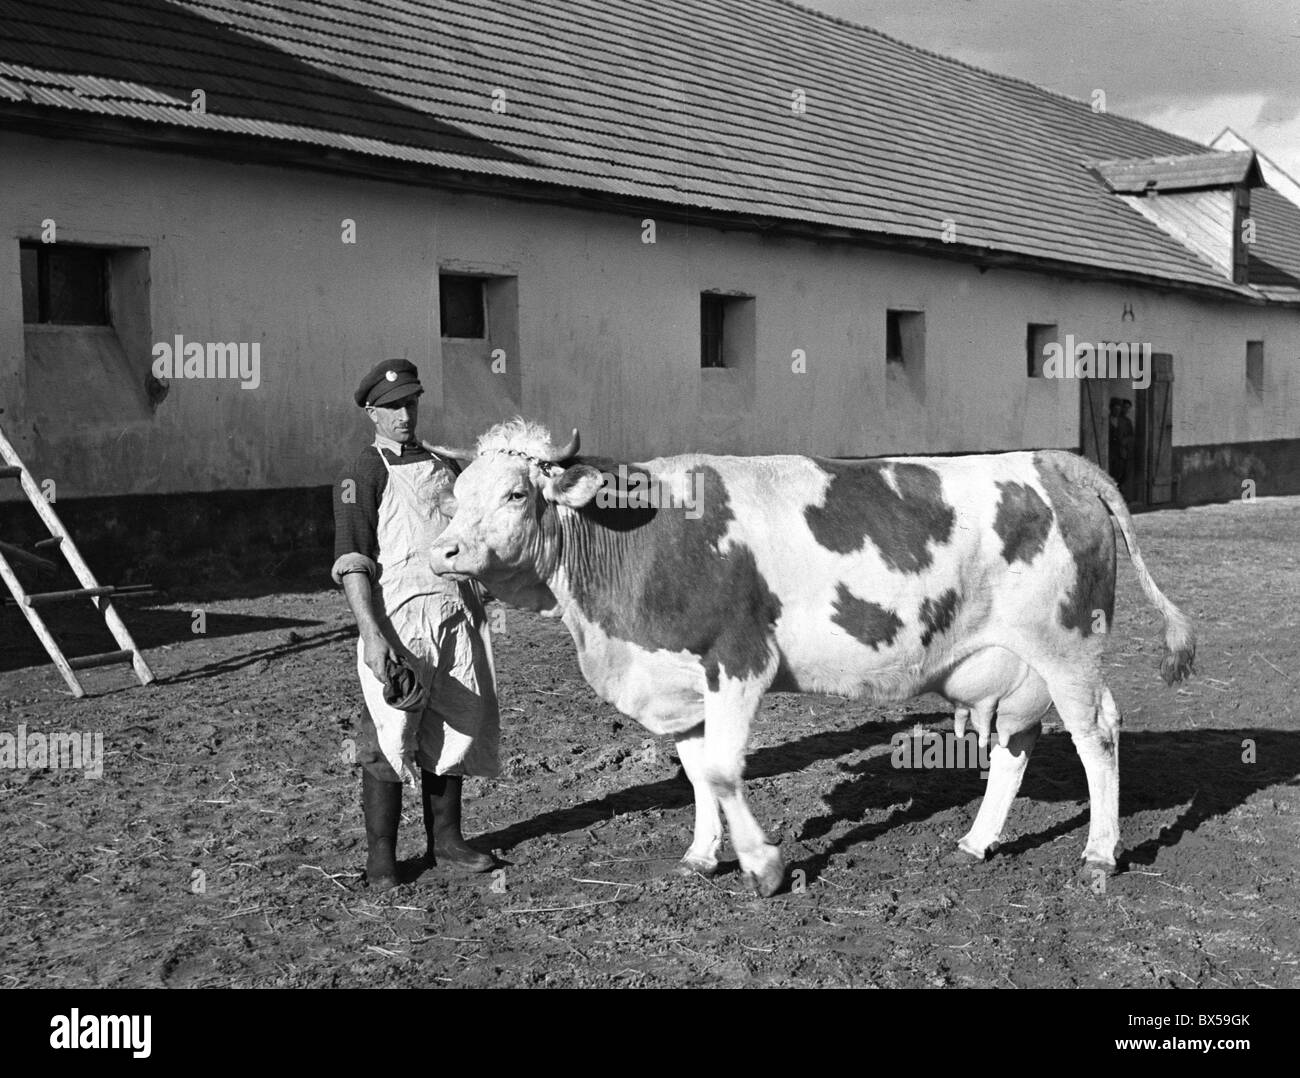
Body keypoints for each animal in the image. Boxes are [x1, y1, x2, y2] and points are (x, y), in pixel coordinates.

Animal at [428, 416, 1196, 894]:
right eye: (455, 495)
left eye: (516, 493)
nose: (445, 552)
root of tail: (1056, 460)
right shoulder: (679, 680)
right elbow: (698, 774)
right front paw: (701, 855)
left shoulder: (739, 658)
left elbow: (725, 772)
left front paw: (764, 866)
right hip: (1016, 667)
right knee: (1014, 748)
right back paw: (978, 841)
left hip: (1068, 648)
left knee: (1098, 735)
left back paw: (1098, 855)